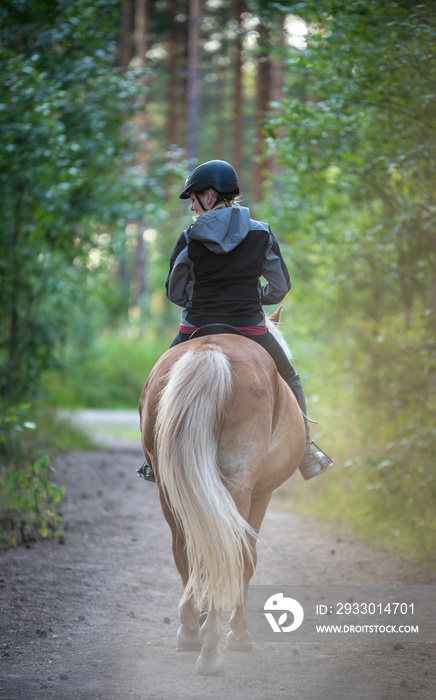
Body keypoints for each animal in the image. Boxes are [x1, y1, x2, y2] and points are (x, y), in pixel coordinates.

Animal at [138, 308, 304, 676]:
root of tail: (211, 351)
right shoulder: (261, 493)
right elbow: (247, 558)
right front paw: (238, 636)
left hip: (169, 489)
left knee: (187, 549)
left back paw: (190, 630)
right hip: (238, 485)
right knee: (228, 550)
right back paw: (212, 650)